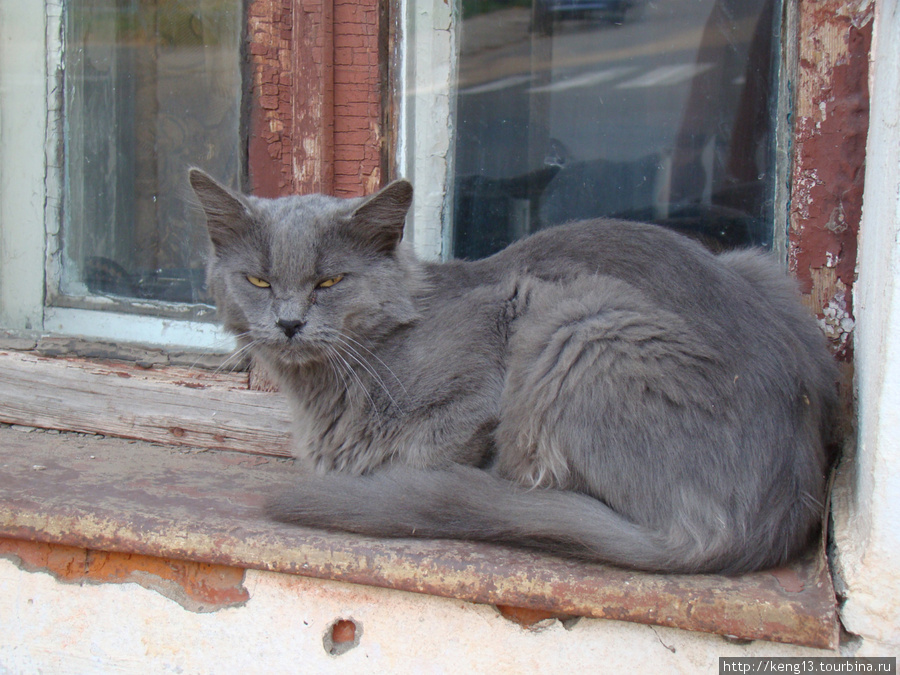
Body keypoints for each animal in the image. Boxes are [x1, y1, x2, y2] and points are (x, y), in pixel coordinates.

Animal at [190, 170, 836, 576]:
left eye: (329, 281)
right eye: (258, 281)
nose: (289, 323)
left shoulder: (498, 341)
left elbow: (430, 447)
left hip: (576, 321)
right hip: (754, 266)